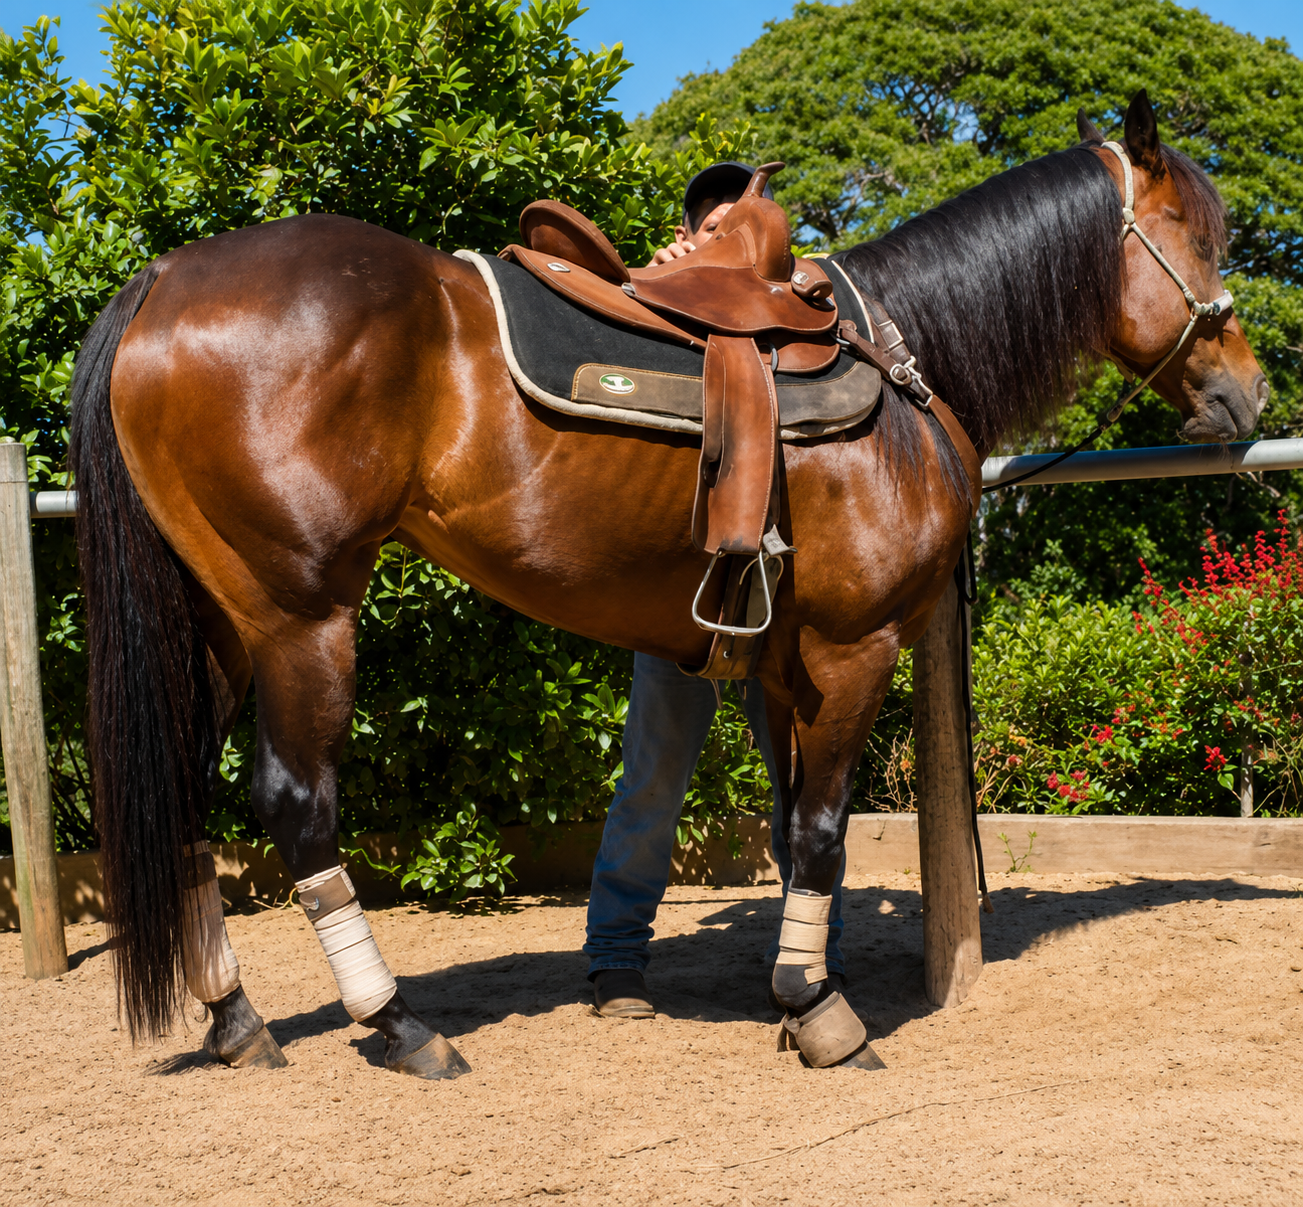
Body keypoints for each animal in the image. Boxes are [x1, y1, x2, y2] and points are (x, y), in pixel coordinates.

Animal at [68, 90, 1265, 1077]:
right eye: (1201, 239)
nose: (1249, 390)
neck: (901, 368)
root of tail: (166, 280)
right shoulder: (853, 646)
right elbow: (822, 827)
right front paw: (818, 1009)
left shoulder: (781, 665)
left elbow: (790, 826)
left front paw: (797, 986)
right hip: (301, 618)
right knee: (296, 802)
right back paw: (397, 1021)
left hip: (216, 623)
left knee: (186, 798)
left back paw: (235, 1017)